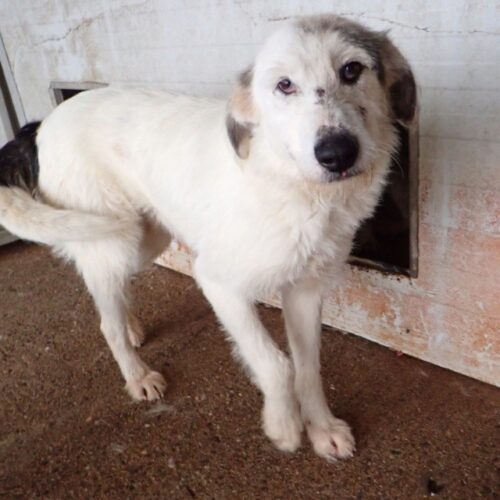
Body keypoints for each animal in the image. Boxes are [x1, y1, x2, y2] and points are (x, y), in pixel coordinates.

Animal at [0, 14, 416, 461]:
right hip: (112, 237)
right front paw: (283, 424)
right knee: (104, 321)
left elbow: (308, 366)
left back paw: (129, 324)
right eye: (284, 85)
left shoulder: (305, 290)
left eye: (352, 70)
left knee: (110, 292)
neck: (296, 187)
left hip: (143, 239)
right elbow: (276, 364)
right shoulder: (219, 283)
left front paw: (322, 429)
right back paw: (137, 374)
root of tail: (44, 121)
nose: (337, 153)